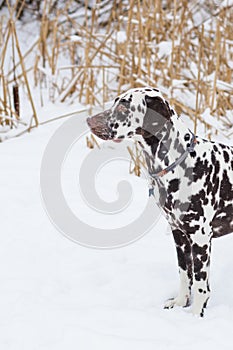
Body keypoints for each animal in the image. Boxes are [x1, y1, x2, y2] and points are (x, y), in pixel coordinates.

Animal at [87, 87, 233, 318]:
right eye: (115, 102)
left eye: (124, 107)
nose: (89, 120)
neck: (182, 164)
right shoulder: (179, 235)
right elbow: (184, 274)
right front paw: (180, 302)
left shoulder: (200, 238)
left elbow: (200, 284)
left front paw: (196, 314)